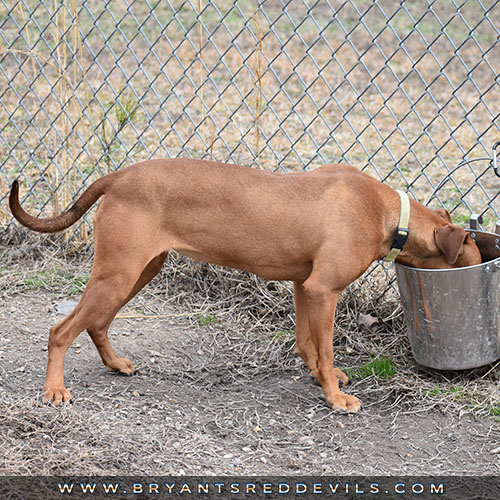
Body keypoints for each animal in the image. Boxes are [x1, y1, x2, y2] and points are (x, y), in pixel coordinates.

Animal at [7, 160, 482, 410]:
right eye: (476, 255)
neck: (388, 213)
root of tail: (120, 175)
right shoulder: (324, 290)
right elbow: (325, 349)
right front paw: (334, 397)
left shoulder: (304, 286)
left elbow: (308, 345)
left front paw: (319, 377)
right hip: (120, 273)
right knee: (61, 330)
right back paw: (54, 389)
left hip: (139, 271)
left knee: (96, 323)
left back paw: (114, 363)